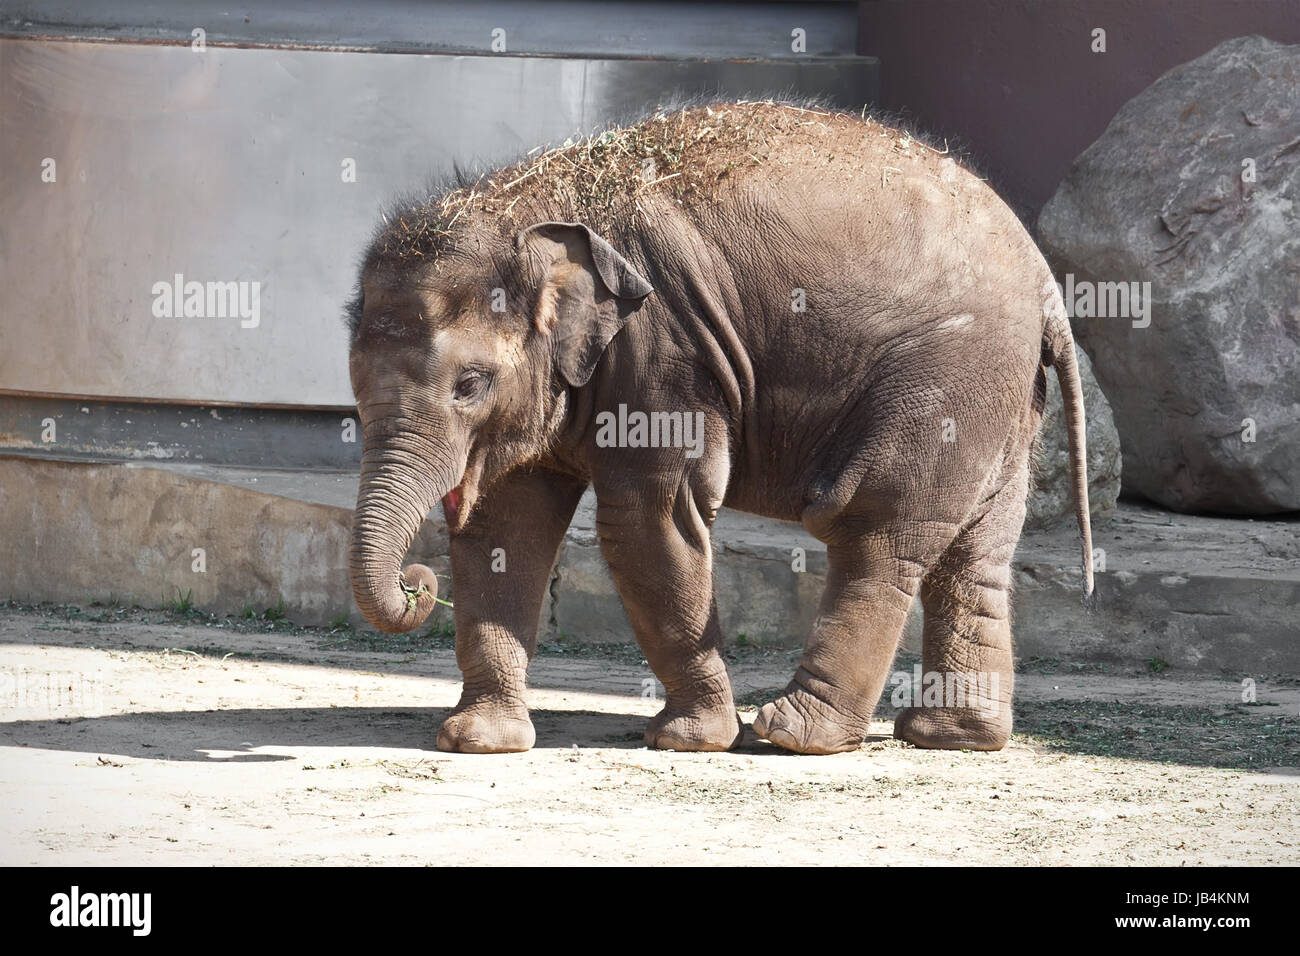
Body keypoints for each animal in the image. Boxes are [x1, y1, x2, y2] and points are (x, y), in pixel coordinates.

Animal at [345, 100, 1094, 755]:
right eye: (351, 390)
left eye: (469, 386)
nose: (416, 582)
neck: (531, 204)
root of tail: (1045, 286)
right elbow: (506, 526)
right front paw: (479, 742)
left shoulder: (663, 352)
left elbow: (648, 521)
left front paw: (691, 739)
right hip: (1000, 399)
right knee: (976, 551)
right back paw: (951, 738)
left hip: (947, 375)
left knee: (874, 528)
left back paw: (794, 735)